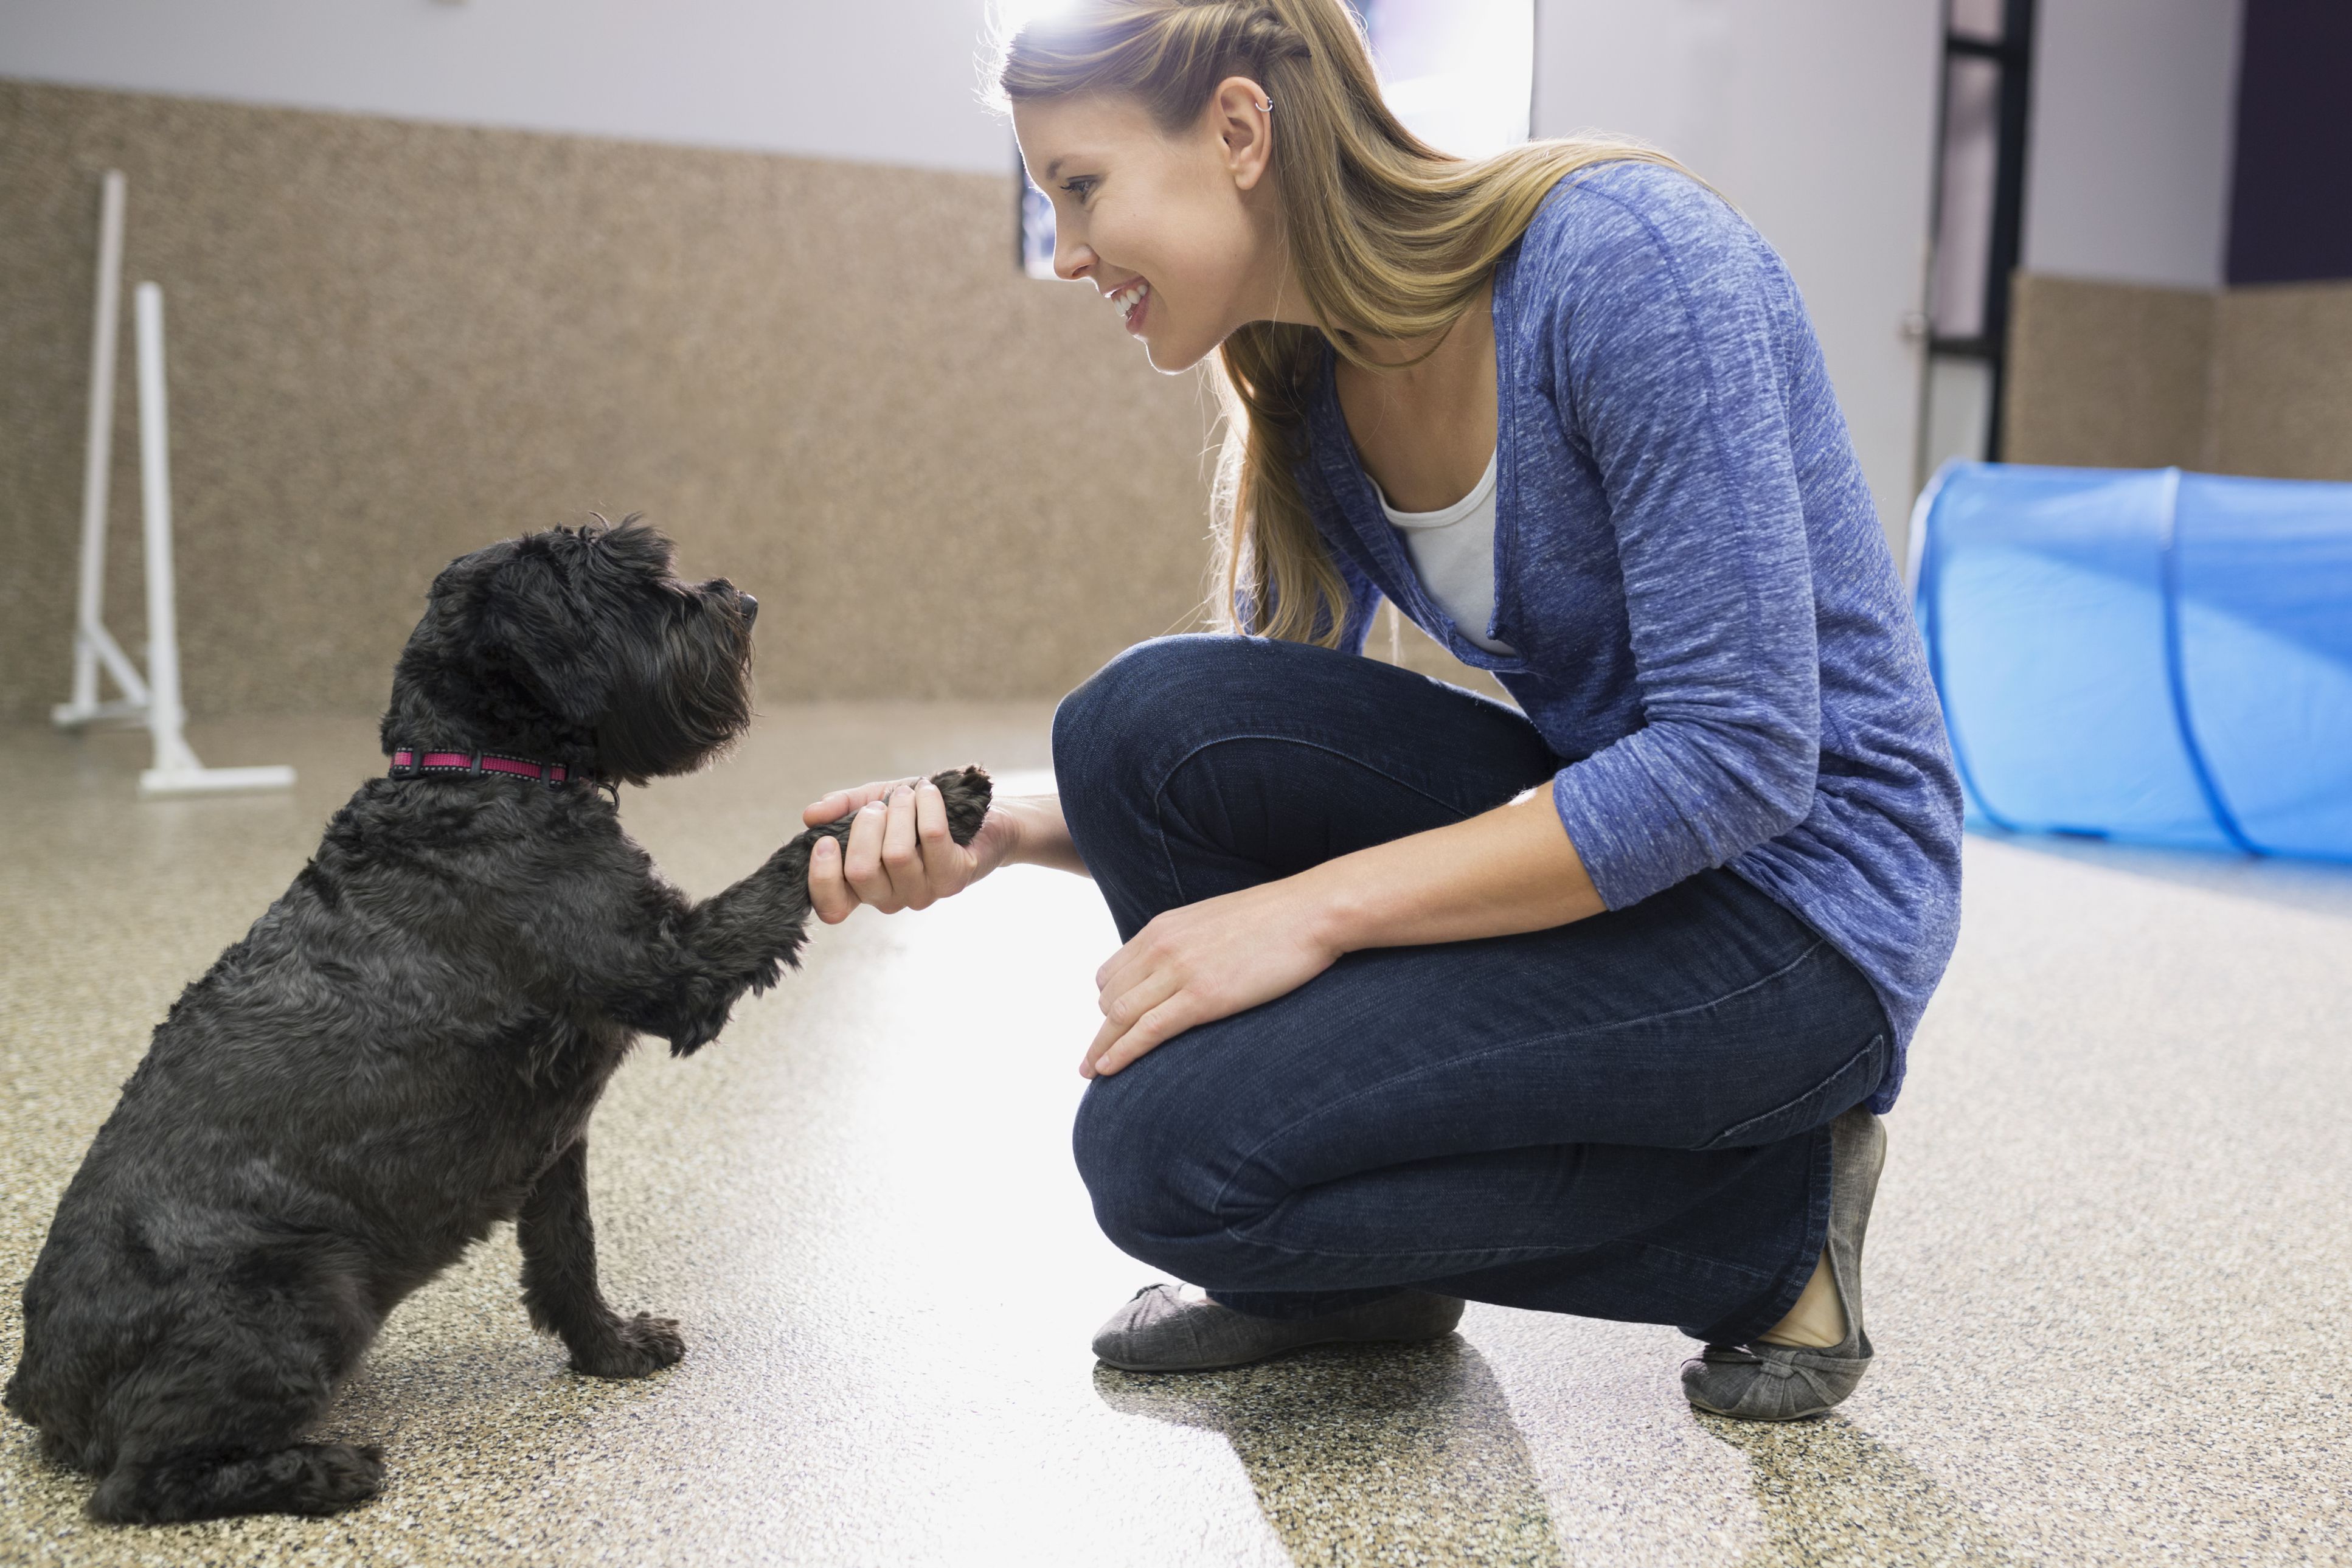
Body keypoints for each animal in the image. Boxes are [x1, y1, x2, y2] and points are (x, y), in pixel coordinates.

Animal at [4, 524, 992, 1523]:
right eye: (631, 584)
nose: (743, 602)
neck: (481, 778)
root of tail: (39, 1388)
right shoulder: (675, 971)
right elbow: (795, 861)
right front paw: (931, 800)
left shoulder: (556, 1144)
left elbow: (566, 1257)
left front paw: (610, 1349)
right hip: (306, 1297)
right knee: (138, 1484)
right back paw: (322, 1470)